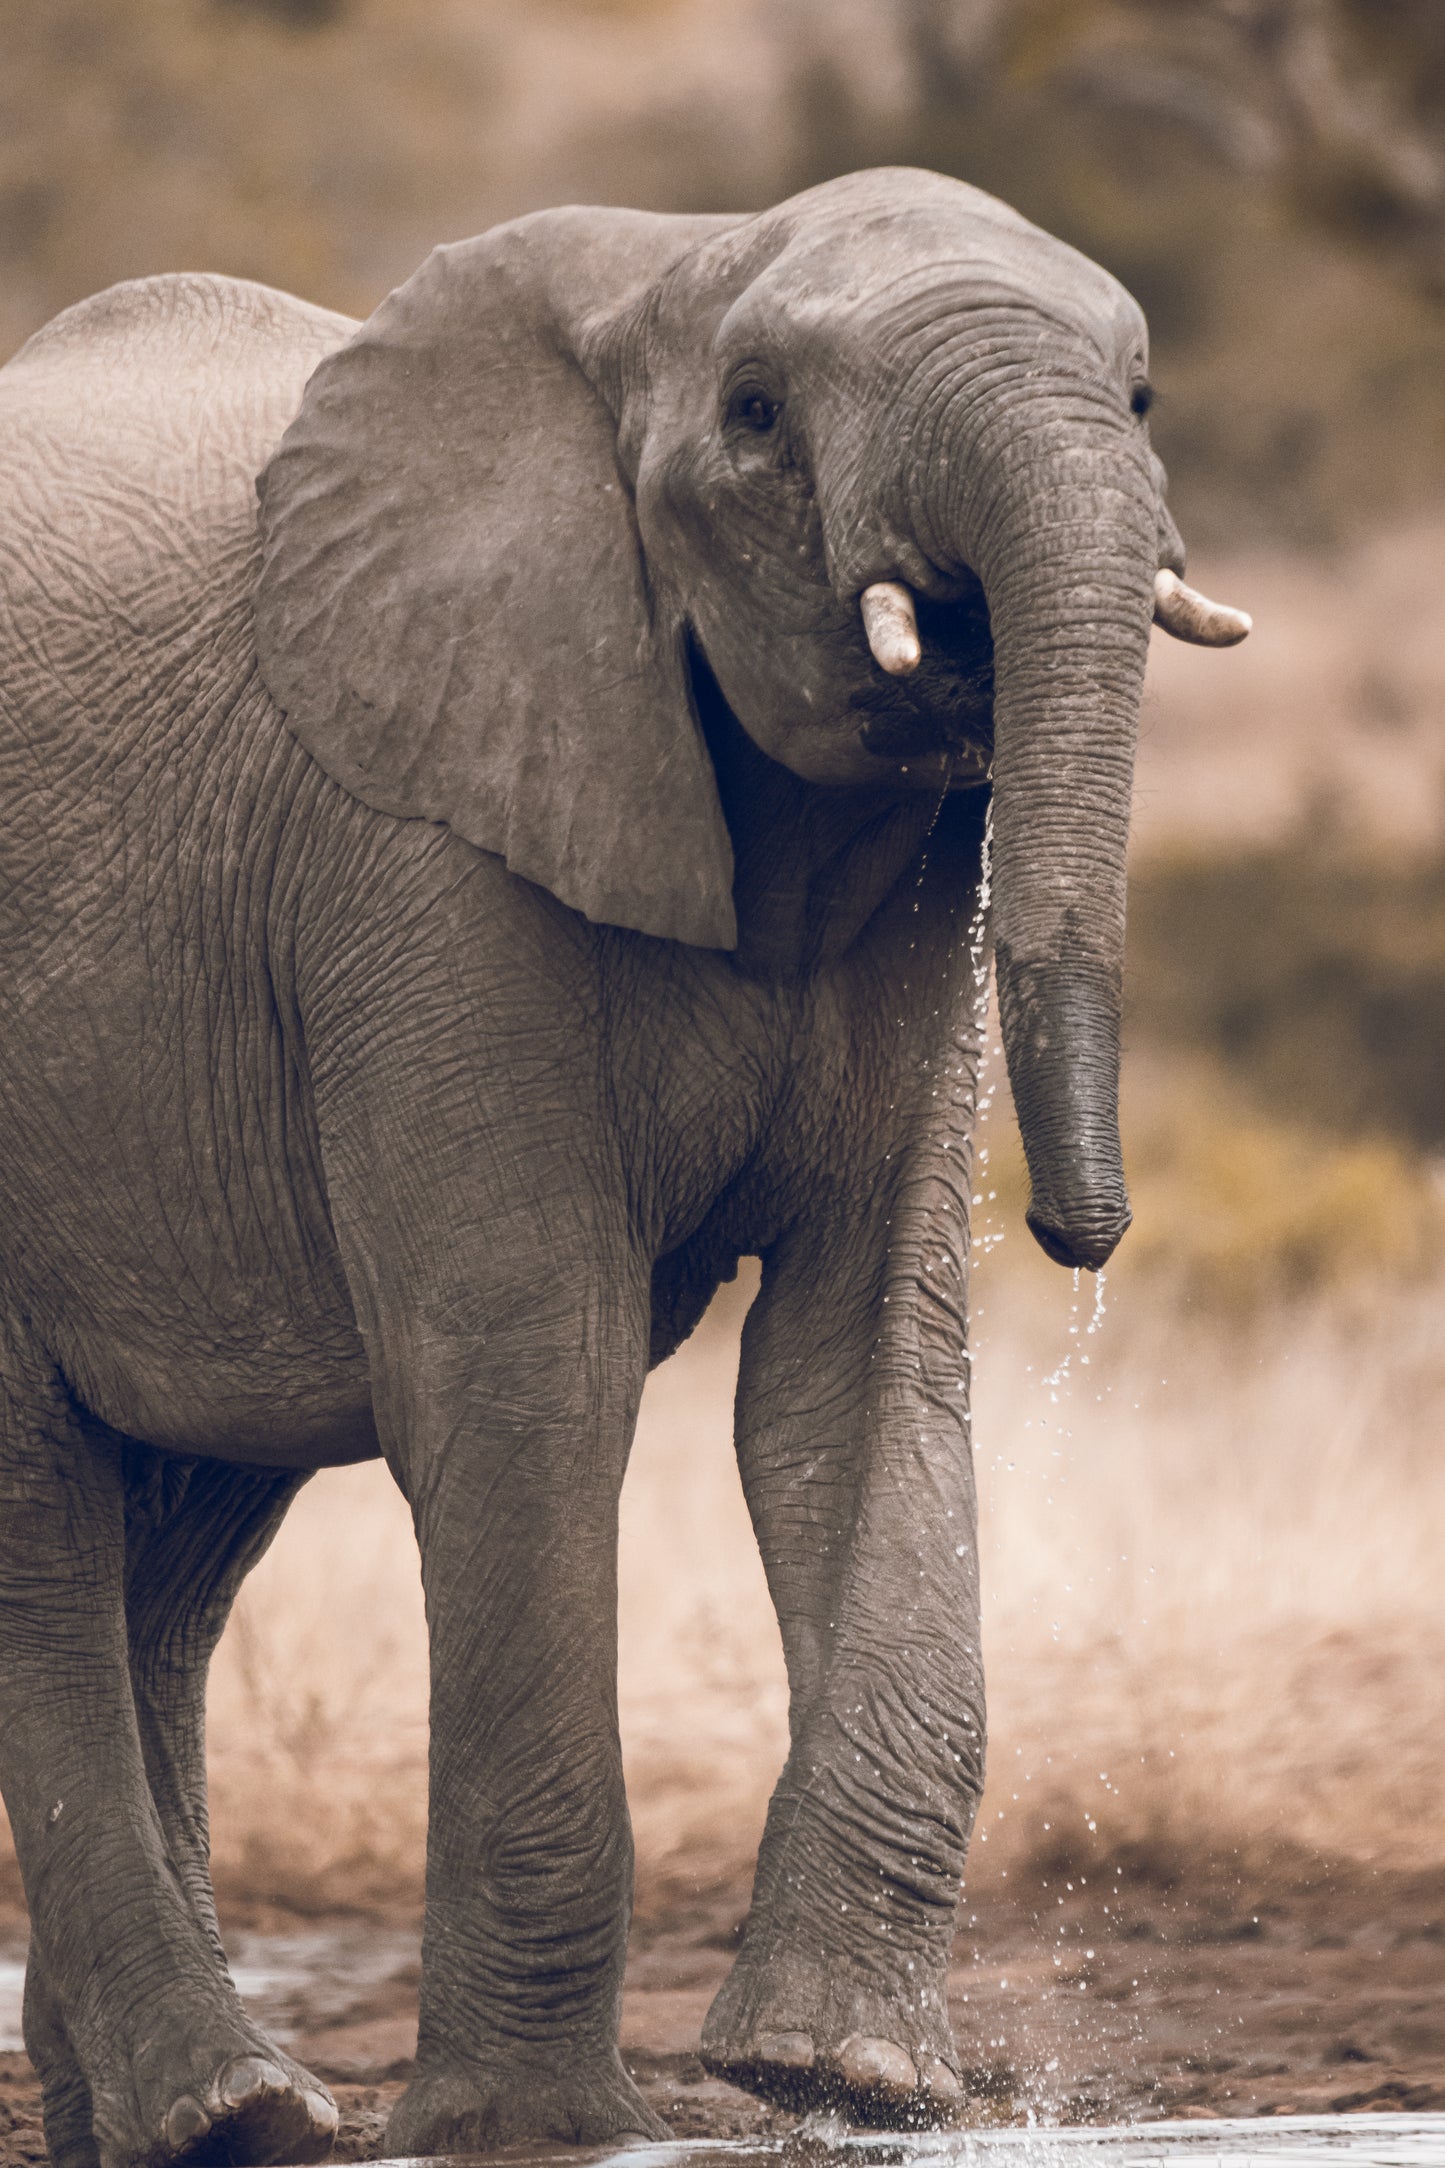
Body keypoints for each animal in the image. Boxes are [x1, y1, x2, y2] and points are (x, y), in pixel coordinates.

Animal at [0, 165, 1248, 2167]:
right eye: (754, 415)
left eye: (1138, 400)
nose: (1083, 1233)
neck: (675, 256)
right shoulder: (418, 846)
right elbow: (534, 1377)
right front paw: (527, 2123)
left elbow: (859, 1368)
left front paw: (841, 2077)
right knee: (43, 1523)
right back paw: (228, 2112)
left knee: (172, 1551)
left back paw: (162, 2121)